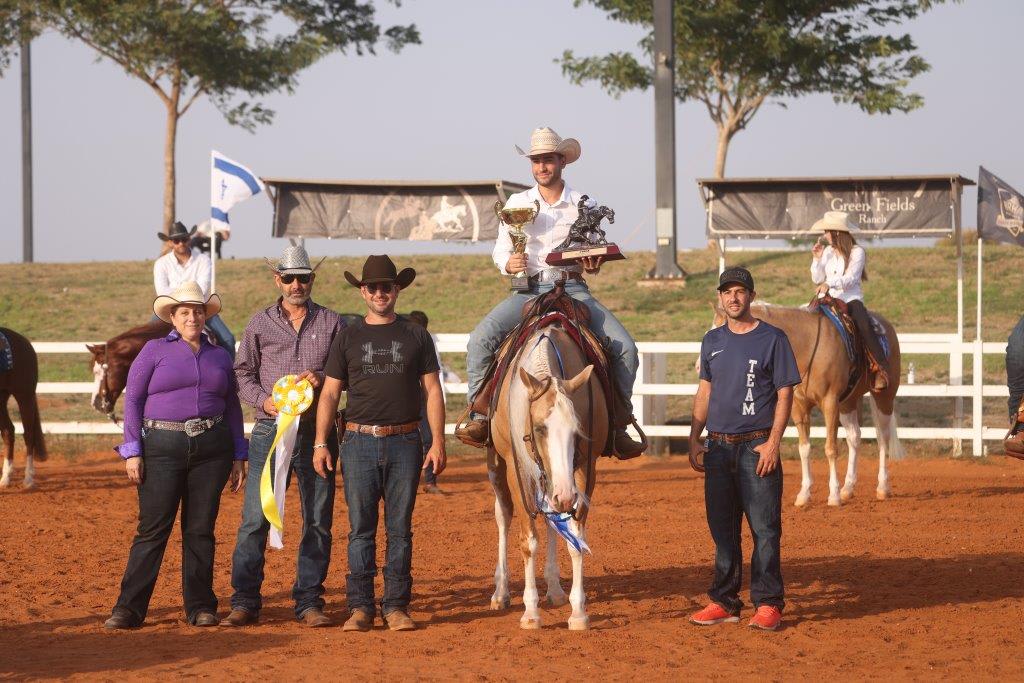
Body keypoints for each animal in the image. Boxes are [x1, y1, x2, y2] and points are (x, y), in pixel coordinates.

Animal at [487, 323, 606, 634]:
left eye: (577, 430)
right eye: (540, 428)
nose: (565, 495)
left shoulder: (584, 470)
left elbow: (575, 537)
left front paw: (578, 612)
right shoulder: (517, 470)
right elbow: (528, 541)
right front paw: (530, 611)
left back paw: (554, 589)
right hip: (498, 465)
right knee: (503, 516)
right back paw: (501, 592)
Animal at [712, 305, 905, 507]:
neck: (809, 348)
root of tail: (885, 324)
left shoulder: (830, 402)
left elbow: (830, 449)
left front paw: (833, 495)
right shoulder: (799, 406)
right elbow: (804, 449)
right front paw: (804, 494)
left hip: (884, 397)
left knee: (883, 437)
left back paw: (882, 487)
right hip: (848, 402)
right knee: (854, 437)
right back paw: (848, 488)